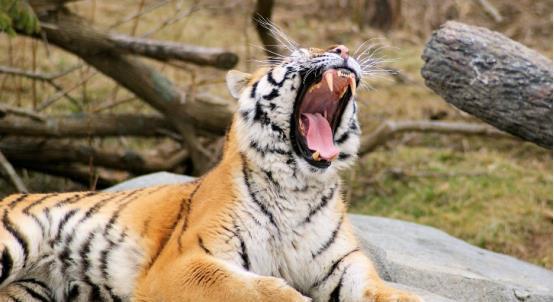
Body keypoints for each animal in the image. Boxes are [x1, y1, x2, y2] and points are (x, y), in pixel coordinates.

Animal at [0, 35, 420, 300]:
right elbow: (259, 289)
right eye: (298, 53)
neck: (298, 187)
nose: (343, 49)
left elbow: (389, 292)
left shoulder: (342, 266)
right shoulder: (185, 263)